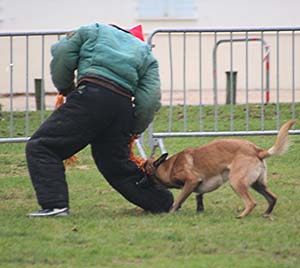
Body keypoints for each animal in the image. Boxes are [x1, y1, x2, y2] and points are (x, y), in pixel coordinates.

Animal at [145, 119, 296, 218]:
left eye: (144, 170)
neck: (169, 166)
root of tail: (258, 151)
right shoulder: (197, 185)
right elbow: (198, 196)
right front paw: (199, 210)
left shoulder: (191, 181)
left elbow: (179, 199)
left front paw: (171, 212)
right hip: (257, 184)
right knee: (272, 198)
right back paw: (266, 214)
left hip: (236, 182)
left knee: (251, 202)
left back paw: (241, 216)